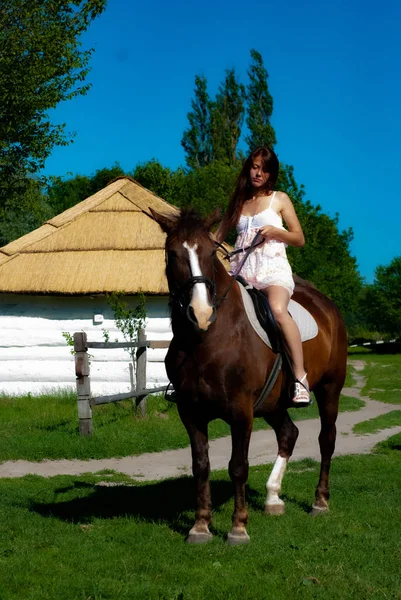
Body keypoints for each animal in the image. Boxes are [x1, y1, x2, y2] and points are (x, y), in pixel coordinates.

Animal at [150, 206, 346, 544]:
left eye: (209, 252)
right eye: (171, 253)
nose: (200, 313)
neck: (208, 338)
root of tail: (328, 307)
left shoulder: (241, 411)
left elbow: (238, 466)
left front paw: (238, 528)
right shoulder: (190, 411)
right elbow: (201, 465)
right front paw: (200, 526)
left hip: (329, 389)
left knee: (326, 439)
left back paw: (320, 501)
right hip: (274, 404)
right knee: (289, 434)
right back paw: (273, 497)